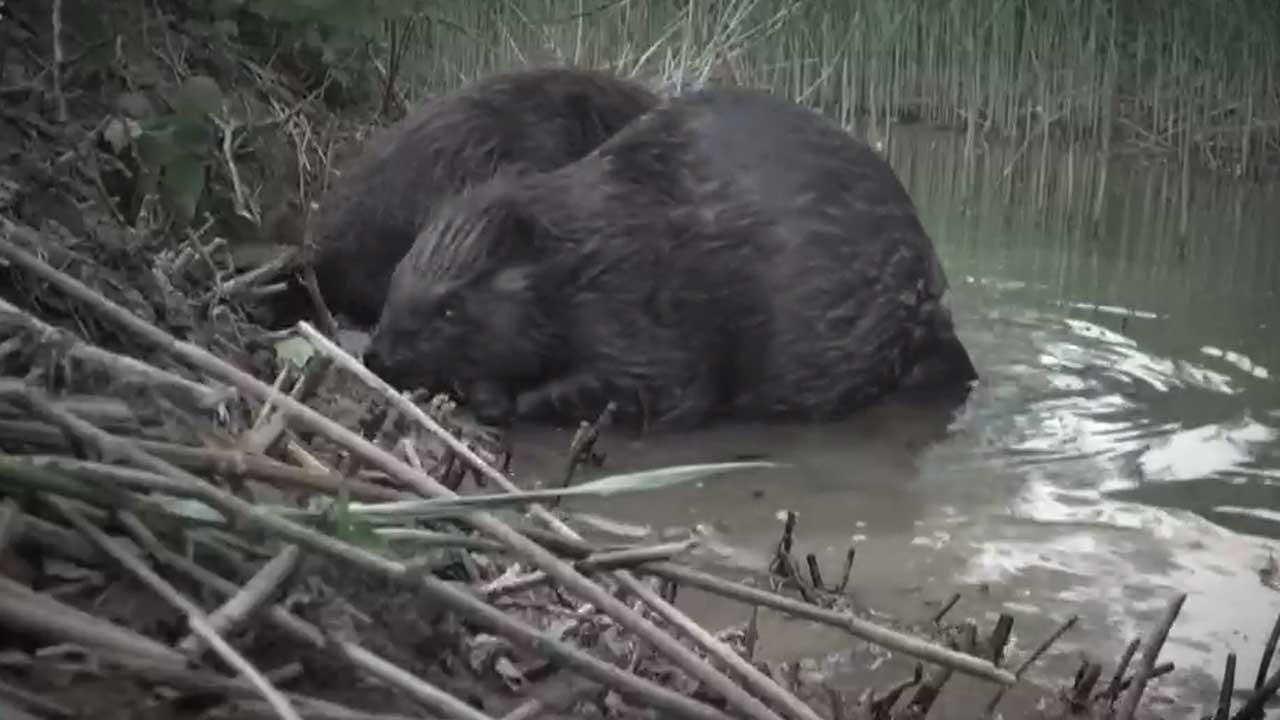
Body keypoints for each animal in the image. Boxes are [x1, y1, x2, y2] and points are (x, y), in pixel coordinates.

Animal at [363, 84, 977, 430]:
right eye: (394, 279)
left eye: (449, 306)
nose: (376, 355)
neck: (591, 246)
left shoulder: (642, 311)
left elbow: (652, 387)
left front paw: (508, 402)